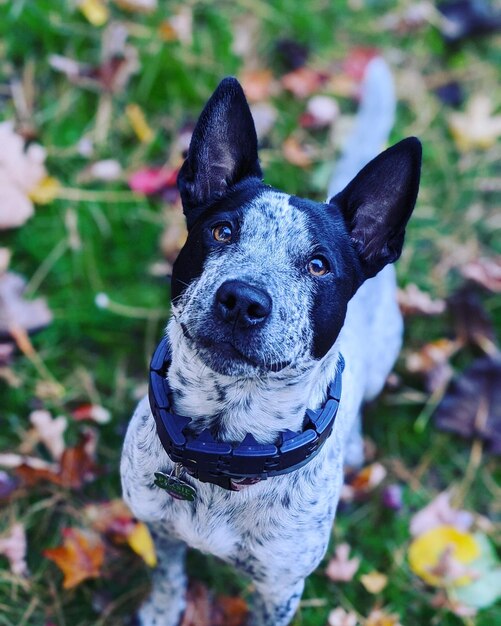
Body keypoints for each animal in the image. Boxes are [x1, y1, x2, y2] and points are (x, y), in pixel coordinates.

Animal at [120, 59, 418, 624]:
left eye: (319, 265)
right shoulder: (157, 524)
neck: (225, 440)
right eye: (221, 231)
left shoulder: (280, 588)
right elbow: (167, 573)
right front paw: (162, 609)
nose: (242, 300)